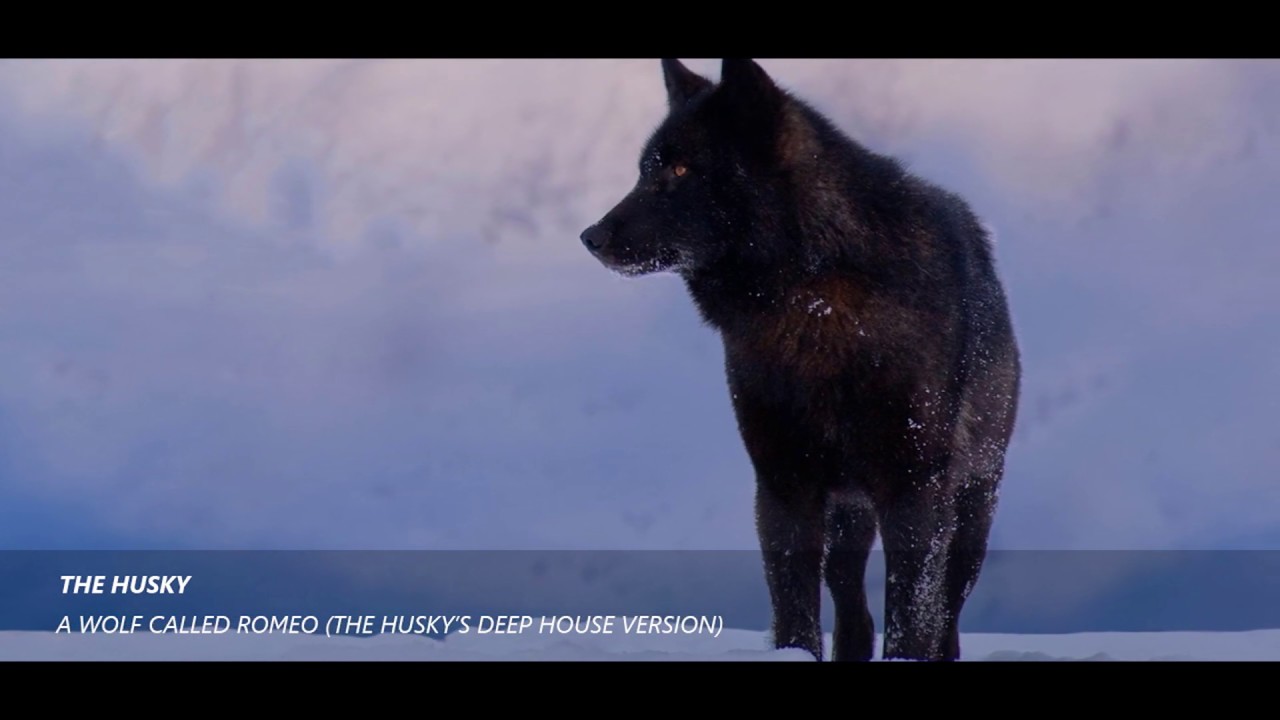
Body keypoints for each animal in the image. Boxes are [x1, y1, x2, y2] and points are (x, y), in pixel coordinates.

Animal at [580, 59, 1020, 662]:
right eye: (645, 170)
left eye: (681, 168)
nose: (590, 236)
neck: (811, 300)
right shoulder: (782, 484)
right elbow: (794, 612)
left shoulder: (913, 487)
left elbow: (912, 617)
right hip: (847, 517)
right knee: (854, 611)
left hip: (971, 513)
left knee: (944, 612)